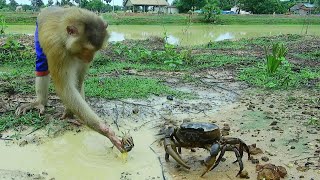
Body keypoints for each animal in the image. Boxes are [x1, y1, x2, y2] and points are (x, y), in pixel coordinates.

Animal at [15, 6, 133, 153]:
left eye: (96, 50)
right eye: (87, 49)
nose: (90, 58)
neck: (65, 40)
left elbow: (77, 80)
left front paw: (70, 113)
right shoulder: (57, 51)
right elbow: (65, 88)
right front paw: (106, 131)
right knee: (41, 65)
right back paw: (40, 102)